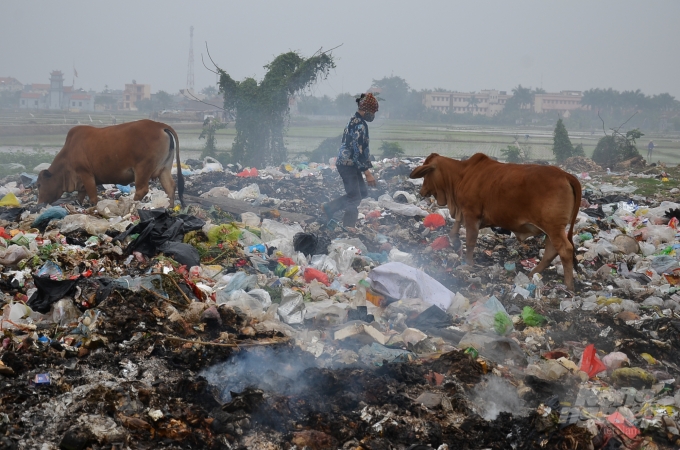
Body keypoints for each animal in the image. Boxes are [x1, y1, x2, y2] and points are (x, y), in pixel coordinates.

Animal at [35, 118, 185, 206]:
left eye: (39, 185)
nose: (39, 204)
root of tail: (160, 125)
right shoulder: (81, 181)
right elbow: (80, 196)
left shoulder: (86, 174)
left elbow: (93, 197)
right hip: (164, 168)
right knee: (170, 187)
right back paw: (170, 207)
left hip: (142, 168)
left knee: (142, 190)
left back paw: (131, 204)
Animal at [412, 153, 580, 290]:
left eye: (426, 174)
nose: (421, 191)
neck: (461, 175)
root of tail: (566, 175)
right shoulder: (463, 212)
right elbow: (454, 230)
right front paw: (456, 243)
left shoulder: (471, 214)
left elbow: (471, 240)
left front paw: (468, 263)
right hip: (551, 229)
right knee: (551, 251)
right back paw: (533, 273)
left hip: (553, 227)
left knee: (565, 250)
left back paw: (568, 285)